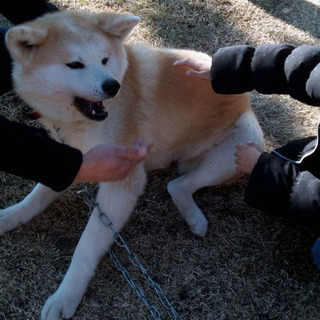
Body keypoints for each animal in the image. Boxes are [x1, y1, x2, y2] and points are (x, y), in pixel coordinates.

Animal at [1, 10, 264, 320]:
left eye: (104, 60)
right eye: (75, 64)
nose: (112, 86)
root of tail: (246, 97)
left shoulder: (123, 184)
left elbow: (86, 247)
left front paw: (66, 295)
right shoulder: (74, 158)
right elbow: (36, 197)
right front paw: (8, 217)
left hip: (243, 147)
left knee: (178, 185)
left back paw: (195, 218)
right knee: (177, 184)